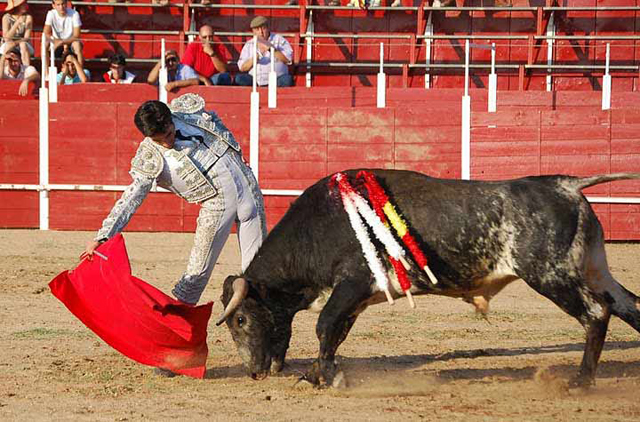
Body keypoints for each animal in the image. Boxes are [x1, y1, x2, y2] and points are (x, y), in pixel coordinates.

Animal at [216, 170, 640, 388]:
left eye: (241, 319)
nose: (254, 371)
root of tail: (566, 184)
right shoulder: (356, 298)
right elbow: (335, 334)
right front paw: (320, 374)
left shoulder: (352, 282)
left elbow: (324, 325)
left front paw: (324, 378)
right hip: (594, 269)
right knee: (628, 305)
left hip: (551, 274)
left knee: (596, 313)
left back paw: (580, 382)